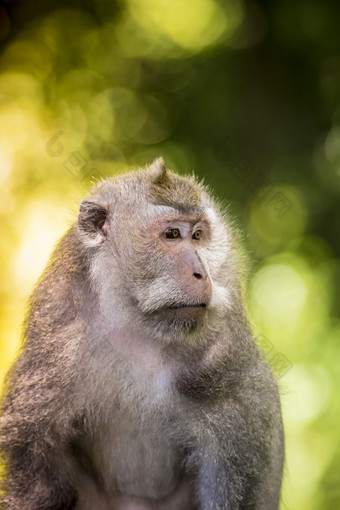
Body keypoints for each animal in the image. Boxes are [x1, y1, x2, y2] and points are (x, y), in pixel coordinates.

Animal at [0, 157, 284, 508]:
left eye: (198, 235)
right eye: (172, 234)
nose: (201, 273)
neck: (141, 330)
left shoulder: (228, 368)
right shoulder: (58, 347)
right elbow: (40, 482)